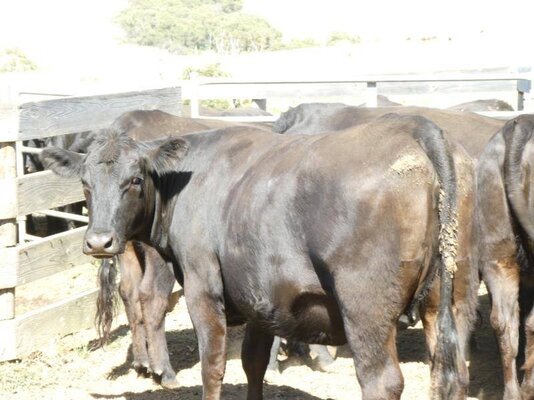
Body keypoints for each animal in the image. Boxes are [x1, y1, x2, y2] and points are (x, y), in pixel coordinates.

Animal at [42, 114, 478, 398]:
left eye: (134, 180)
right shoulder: (259, 297)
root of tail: (416, 128)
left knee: (381, 381)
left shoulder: (203, 286)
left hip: (366, 309)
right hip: (449, 297)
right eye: (85, 183)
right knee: (452, 373)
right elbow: (252, 363)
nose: (99, 242)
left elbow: (213, 366)